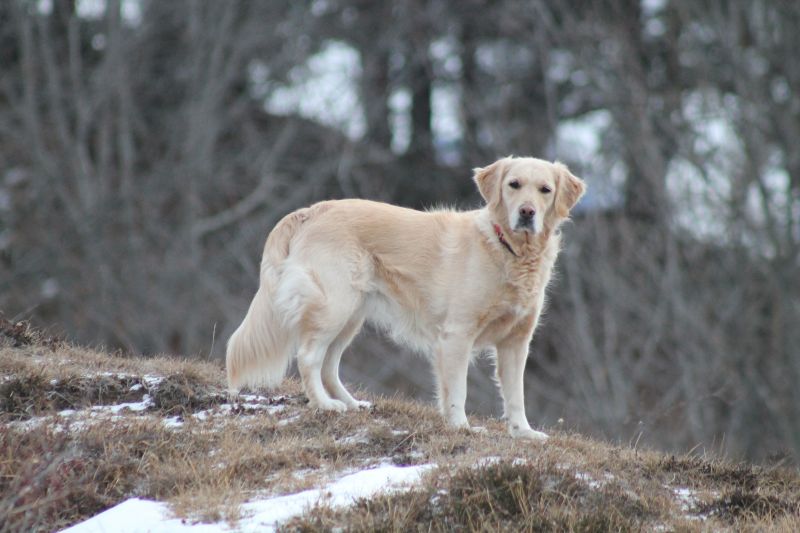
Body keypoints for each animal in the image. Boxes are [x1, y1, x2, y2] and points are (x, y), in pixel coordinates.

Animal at [225, 156, 580, 438]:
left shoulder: (516, 342)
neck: (508, 250)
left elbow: (515, 395)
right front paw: (461, 427)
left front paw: (524, 433)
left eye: (545, 190)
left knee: (329, 365)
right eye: (513, 185)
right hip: (335, 306)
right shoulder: (457, 336)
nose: (527, 212)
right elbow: (458, 390)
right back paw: (325, 405)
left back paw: (352, 403)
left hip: (352, 316)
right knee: (309, 357)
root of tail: (311, 210)